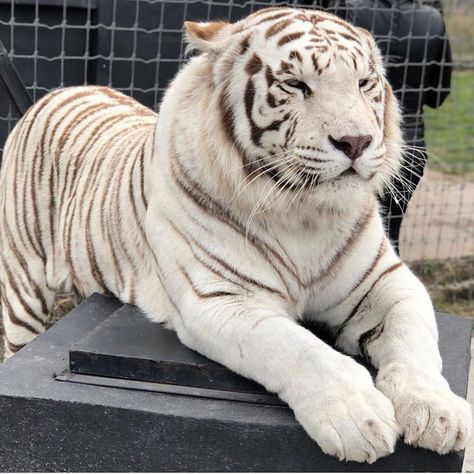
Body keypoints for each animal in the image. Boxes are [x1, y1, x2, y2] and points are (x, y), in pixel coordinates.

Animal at [0, 6, 470, 462]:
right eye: (296, 84)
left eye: (364, 83)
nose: (356, 141)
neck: (304, 214)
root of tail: (63, 90)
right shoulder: (219, 297)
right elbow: (296, 348)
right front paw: (357, 416)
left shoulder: (386, 282)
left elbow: (415, 340)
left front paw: (437, 411)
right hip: (21, 288)